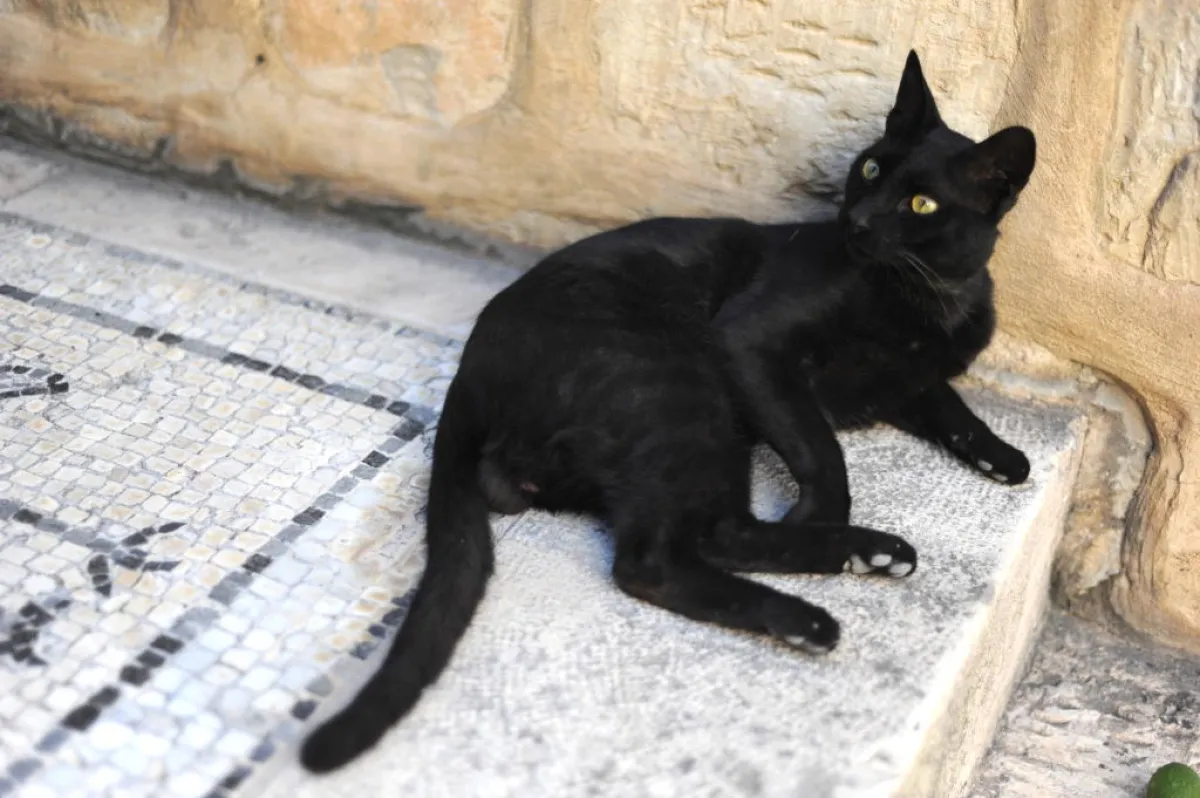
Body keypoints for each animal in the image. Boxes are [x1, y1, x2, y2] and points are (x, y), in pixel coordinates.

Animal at [300, 50, 1036, 773]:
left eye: (920, 203)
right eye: (873, 168)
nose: (856, 222)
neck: (929, 300)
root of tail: (472, 371)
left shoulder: (901, 381)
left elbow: (948, 403)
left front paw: (1002, 457)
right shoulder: (754, 344)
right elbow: (821, 450)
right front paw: (822, 513)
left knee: (696, 539)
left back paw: (862, 562)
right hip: (684, 390)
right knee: (664, 556)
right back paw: (828, 593)